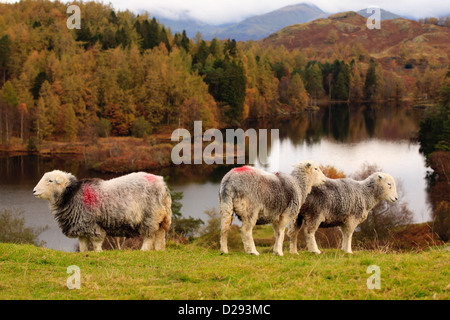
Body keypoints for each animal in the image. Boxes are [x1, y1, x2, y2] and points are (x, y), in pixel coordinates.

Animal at [33, 170, 172, 252]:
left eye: (50, 180)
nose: (34, 191)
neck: (73, 195)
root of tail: (162, 184)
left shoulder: (92, 225)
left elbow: (96, 243)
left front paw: (98, 253)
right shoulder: (81, 227)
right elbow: (83, 245)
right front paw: (84, 254)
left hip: (149, 216)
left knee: (149, 237)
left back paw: (143, 250)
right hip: (159, 216)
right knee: (160, 235)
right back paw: (159, 250)